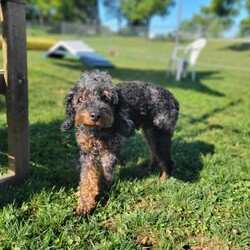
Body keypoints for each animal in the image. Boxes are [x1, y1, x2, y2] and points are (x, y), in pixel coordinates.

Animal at [60, 70, 179, 215]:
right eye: (81, 98)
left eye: (106, 98)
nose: (95, 116)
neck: (98, 131)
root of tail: (173, 98)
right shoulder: (88, 153)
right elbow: (87, 178)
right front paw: (84, 204)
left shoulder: (110, 152)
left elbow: (105, 176)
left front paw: (101, 194)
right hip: (150, 132)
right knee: (155, 153)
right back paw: (149, 168)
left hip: (160, 134)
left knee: (167, 159)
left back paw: (163, 178)